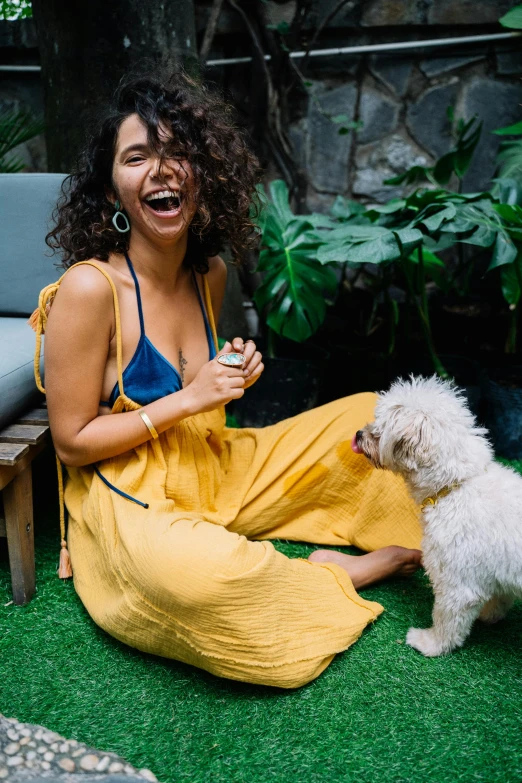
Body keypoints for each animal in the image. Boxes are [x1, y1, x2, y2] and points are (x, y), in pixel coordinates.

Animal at [352, 376, 516, 660]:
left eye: (378, 430)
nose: (359, 434)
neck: (456, 486)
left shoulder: (457, 581)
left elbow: (447, 620)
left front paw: (430, 644)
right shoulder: (498, 571)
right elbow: (500, 598)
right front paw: (489, 616)